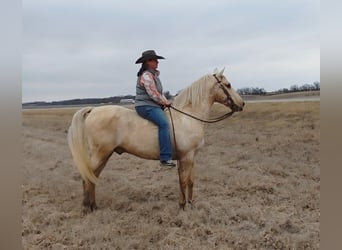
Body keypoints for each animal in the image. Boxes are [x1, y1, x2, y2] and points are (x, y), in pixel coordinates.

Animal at [67, 67, 243, 212]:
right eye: (228, 85)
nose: (241, 104)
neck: (187, 117)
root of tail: (93, 110)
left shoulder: (191, 157)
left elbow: (190, 181)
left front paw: (191, 204)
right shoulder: (186, 157)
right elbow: (183, 181)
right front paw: (182, 206)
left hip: (104, 155)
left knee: (93, 177)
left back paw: (94, 206)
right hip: (100, 154)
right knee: (87, 177)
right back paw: (86, 207)